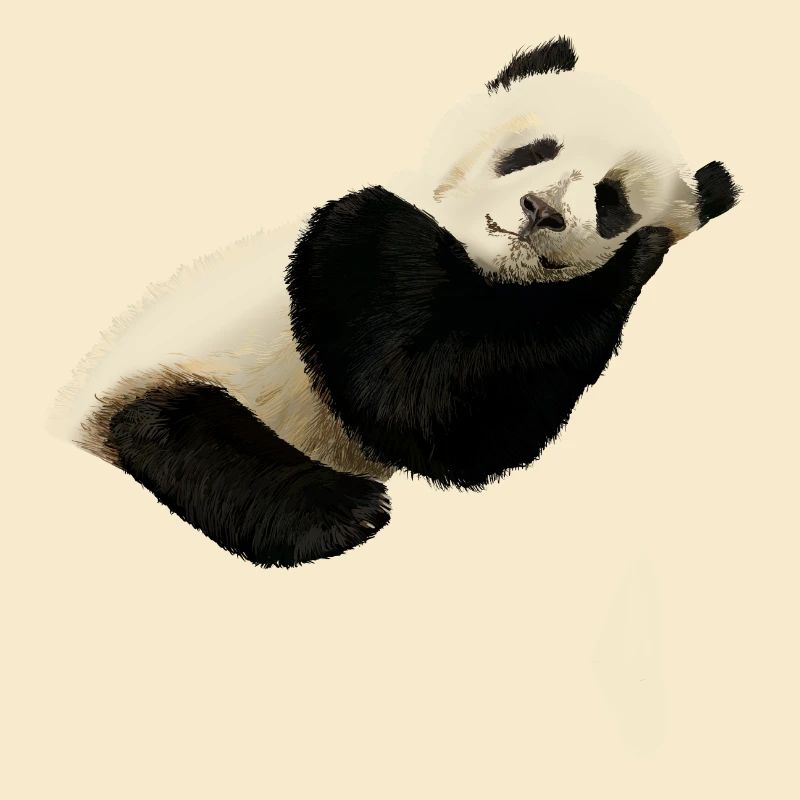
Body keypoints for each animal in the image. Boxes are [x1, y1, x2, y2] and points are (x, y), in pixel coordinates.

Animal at [49, 36, 740, 568]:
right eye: (534, 151)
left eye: (611, 200)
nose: (541, 209)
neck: (480, 262)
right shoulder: (342, 258)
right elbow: (406, 398)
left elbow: (468, 422)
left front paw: (640, 253)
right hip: (161, 376)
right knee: (179, 432)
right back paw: (342, 510)